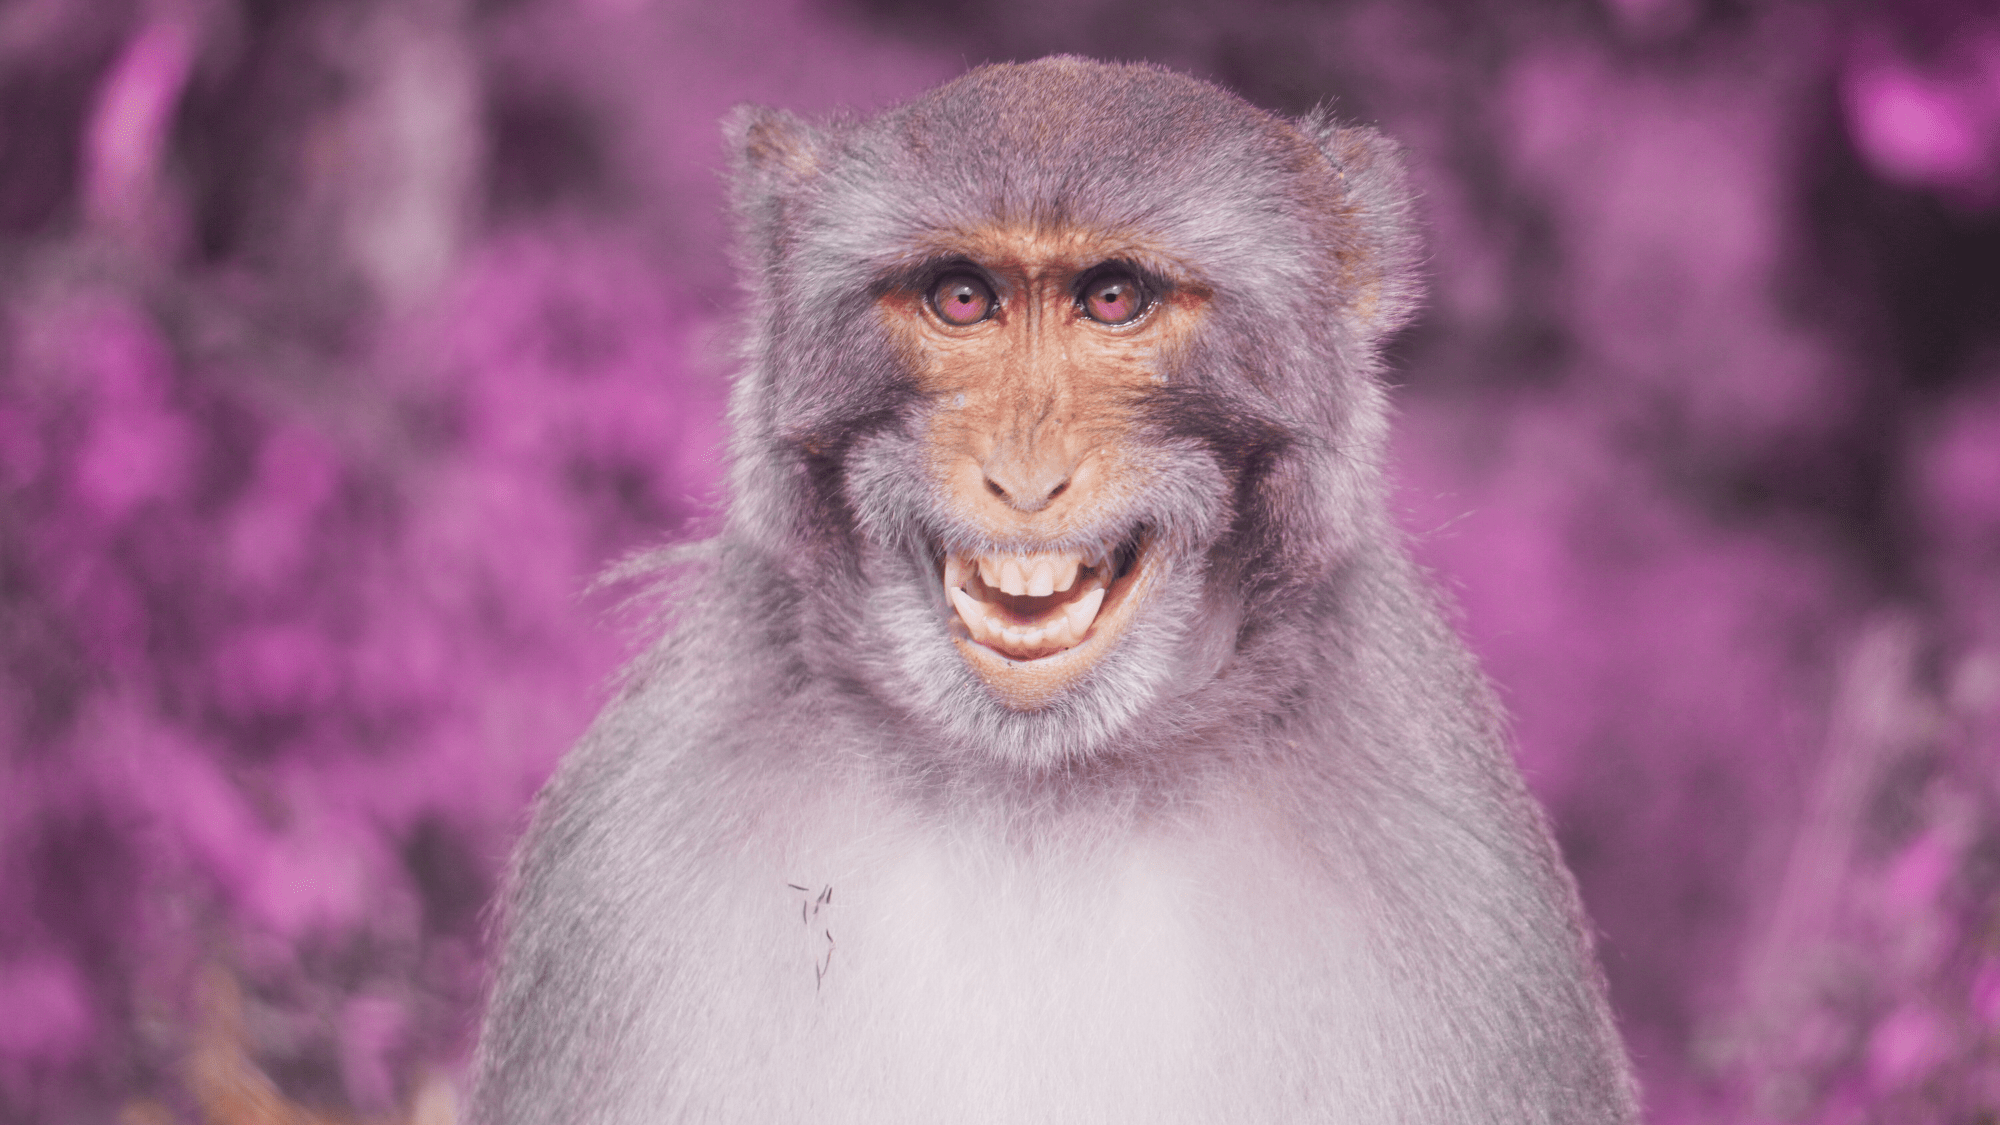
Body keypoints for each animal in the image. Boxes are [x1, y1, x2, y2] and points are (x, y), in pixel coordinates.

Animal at [470, 57, 1639, 1124]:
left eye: (1112, 299)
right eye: (961, 298)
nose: (1024, 478)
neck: (1041, 794)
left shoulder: (1471, 904)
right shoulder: (618, 876)